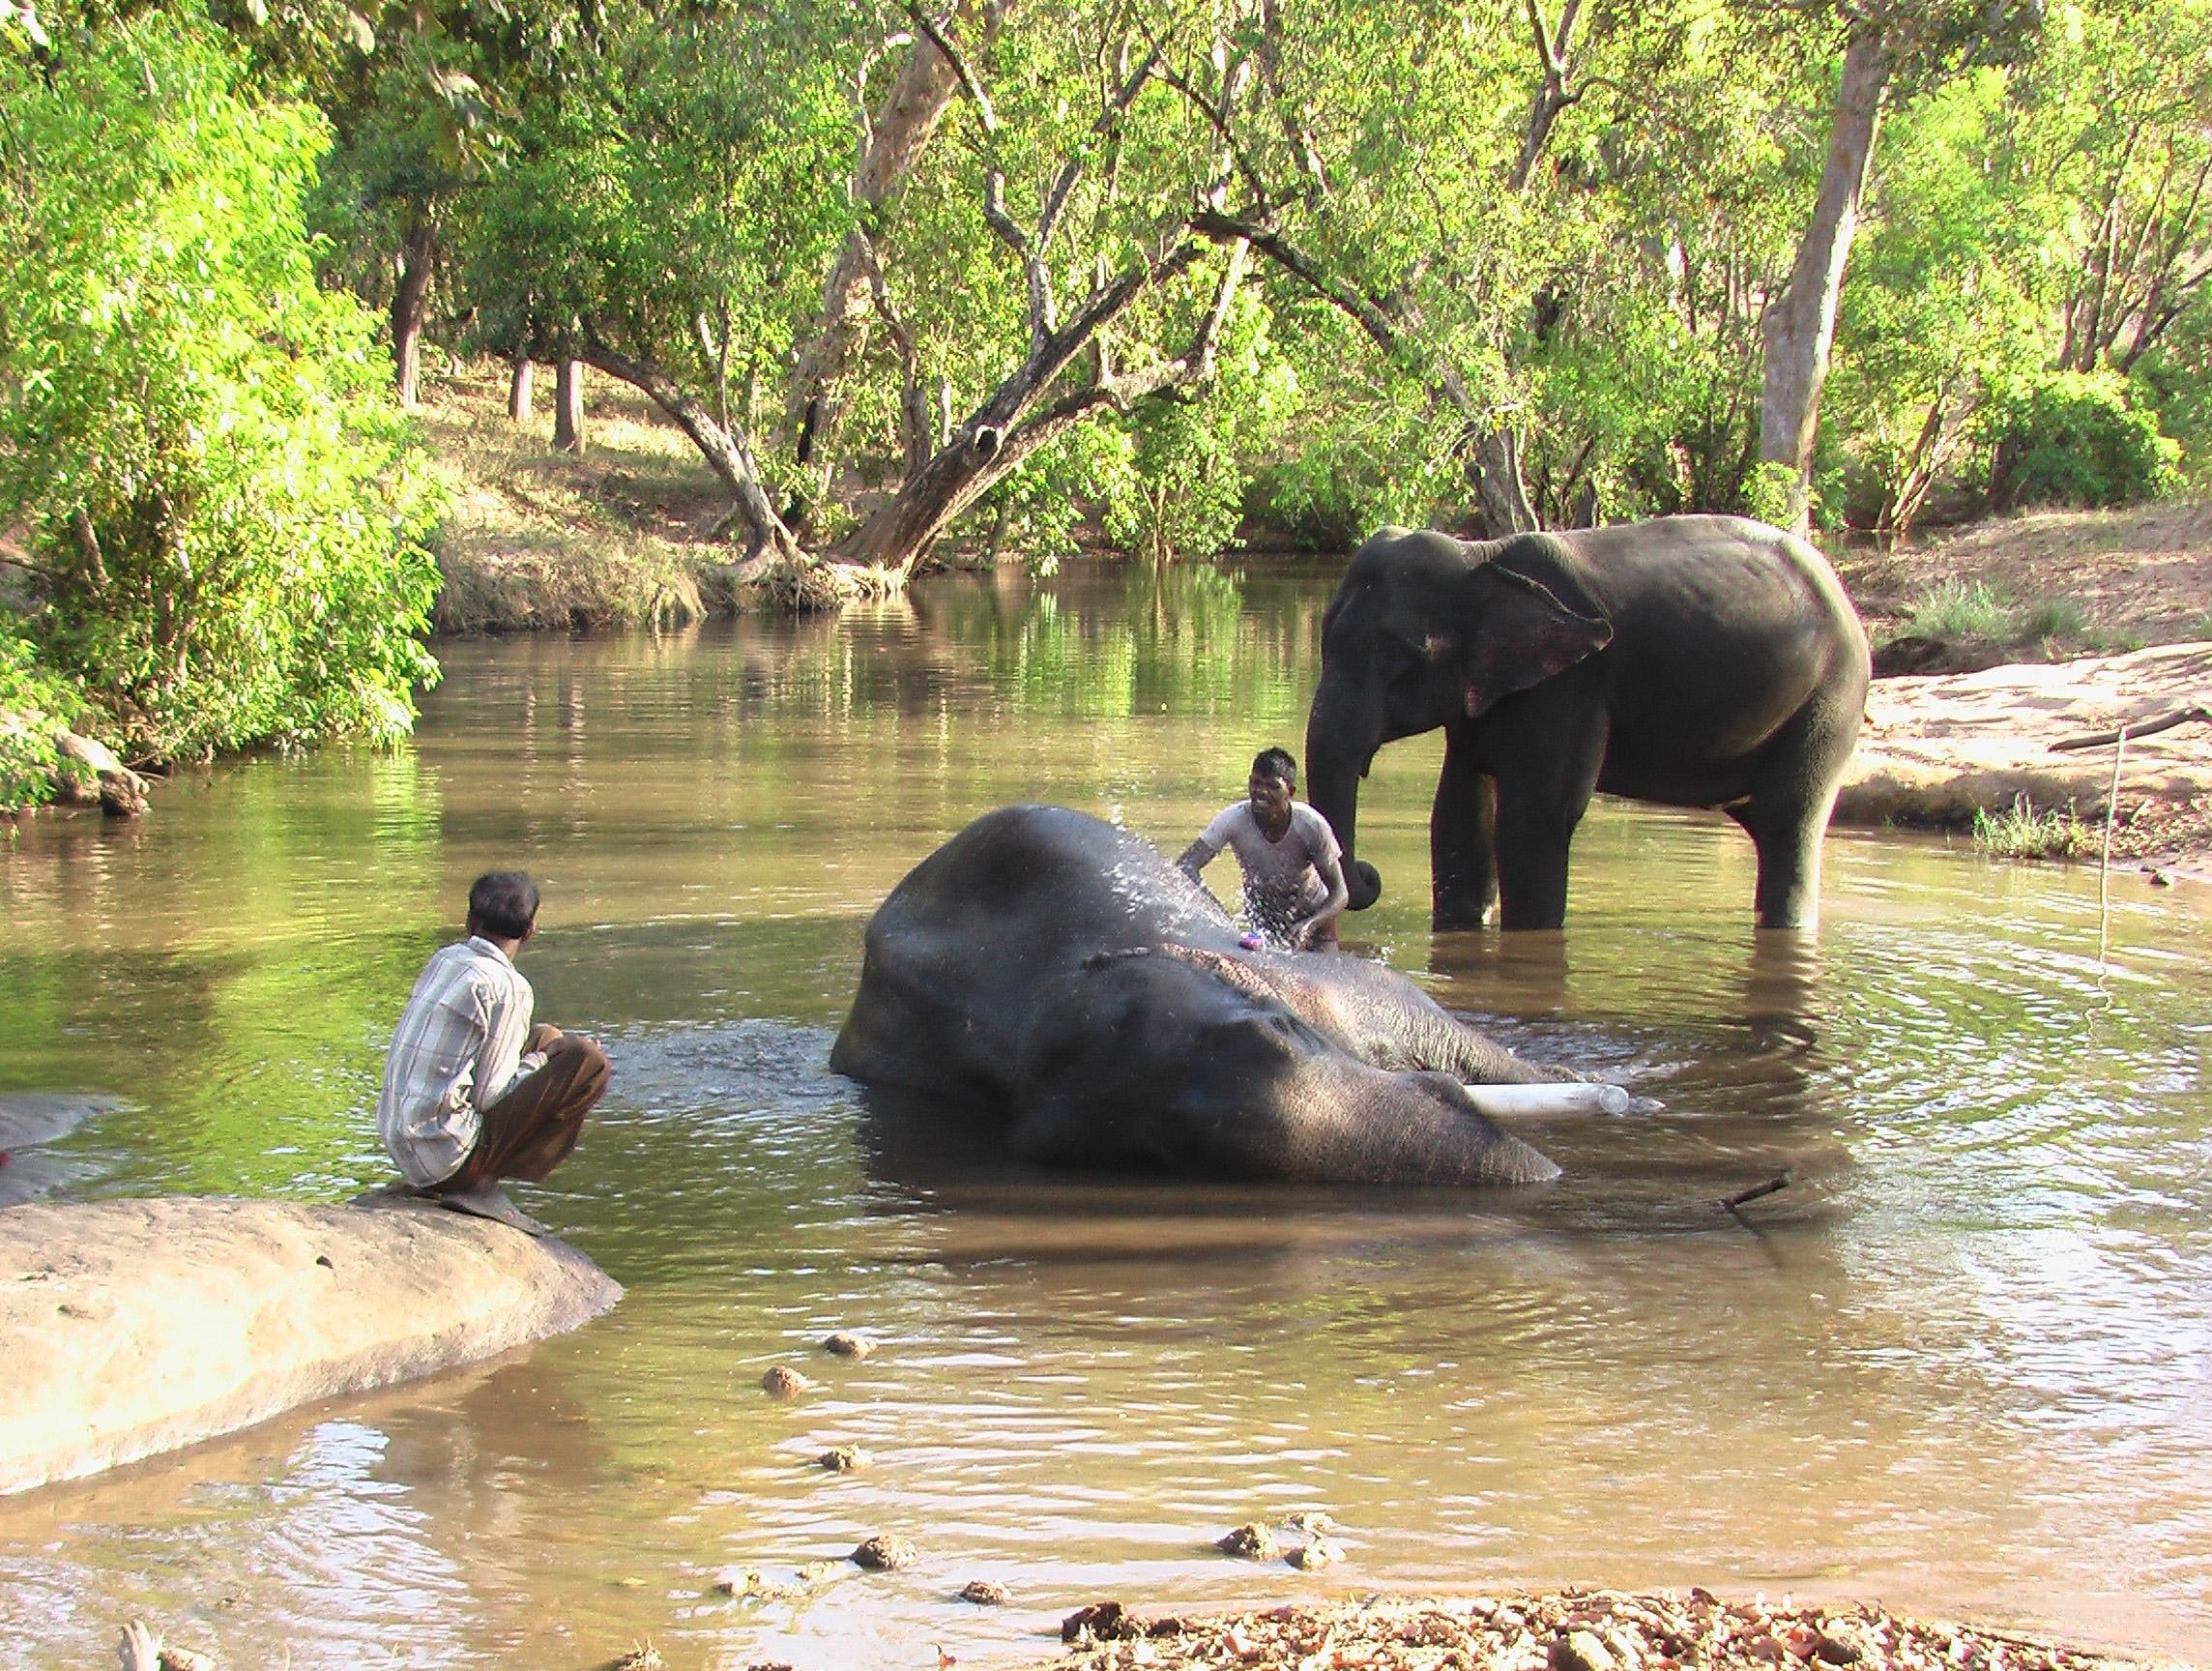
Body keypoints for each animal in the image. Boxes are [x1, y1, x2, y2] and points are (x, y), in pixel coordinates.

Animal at [1305, 514, 1870, 932]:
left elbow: (1535, 820)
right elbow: (1457, 813)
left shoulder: (1571, 686)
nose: (1368, 875)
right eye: (1325, 640)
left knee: (1789, 823)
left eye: (1400, 658)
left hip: (1830, 702)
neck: (1481, 557)